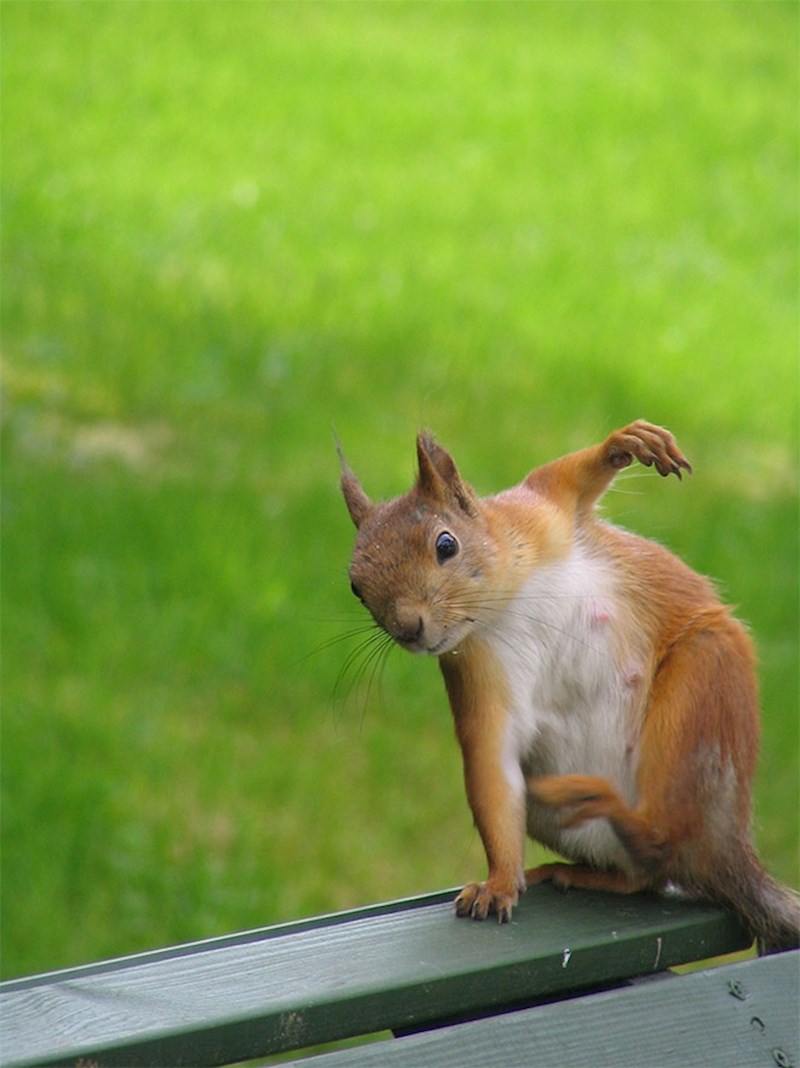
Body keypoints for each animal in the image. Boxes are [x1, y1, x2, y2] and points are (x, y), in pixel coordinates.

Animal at [339, 420, 800, 955]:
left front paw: (627, 443)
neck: (506, 599)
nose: (408, 628)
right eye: (356, 587)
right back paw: (580, 866)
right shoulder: (478, 673)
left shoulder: (542, 509)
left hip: (700, 692)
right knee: (648, 872)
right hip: (550, 809)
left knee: (665, 839)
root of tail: (728, 850)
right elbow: (490, 768)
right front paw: (499, 884)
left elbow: (570, 475)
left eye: (446, 545)